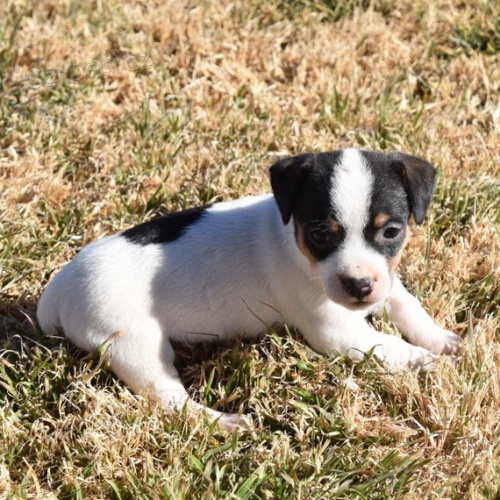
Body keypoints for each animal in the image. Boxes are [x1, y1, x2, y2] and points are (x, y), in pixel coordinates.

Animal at [38, 147, 460, 430]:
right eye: (321, 234)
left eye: (391, 232)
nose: (358, 285)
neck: (293, 241)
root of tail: (58, 289)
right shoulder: (337, 332)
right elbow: (392, 348)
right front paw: (431, 363)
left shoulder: (386, 283)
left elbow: (408, 305)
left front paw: (440, 340)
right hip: (135, 345)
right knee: (169, 400)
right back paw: (225, 422)